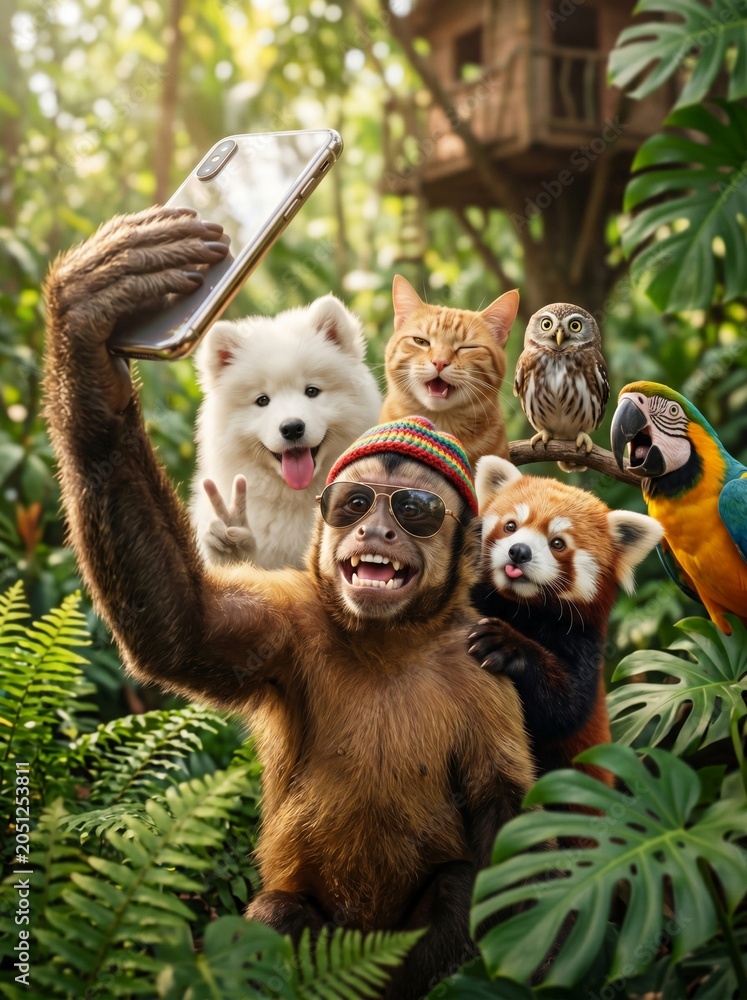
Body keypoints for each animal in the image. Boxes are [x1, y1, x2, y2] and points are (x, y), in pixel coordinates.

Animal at [42, 206, 536, 999]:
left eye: (415, 510)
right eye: (357, 502)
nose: (375, 529)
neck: (386, 641)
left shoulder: (481, 678)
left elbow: (502, 812)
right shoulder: (284, 627)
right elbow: (182, 626)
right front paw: (95, 324)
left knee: (452, 888)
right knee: (270, 922)